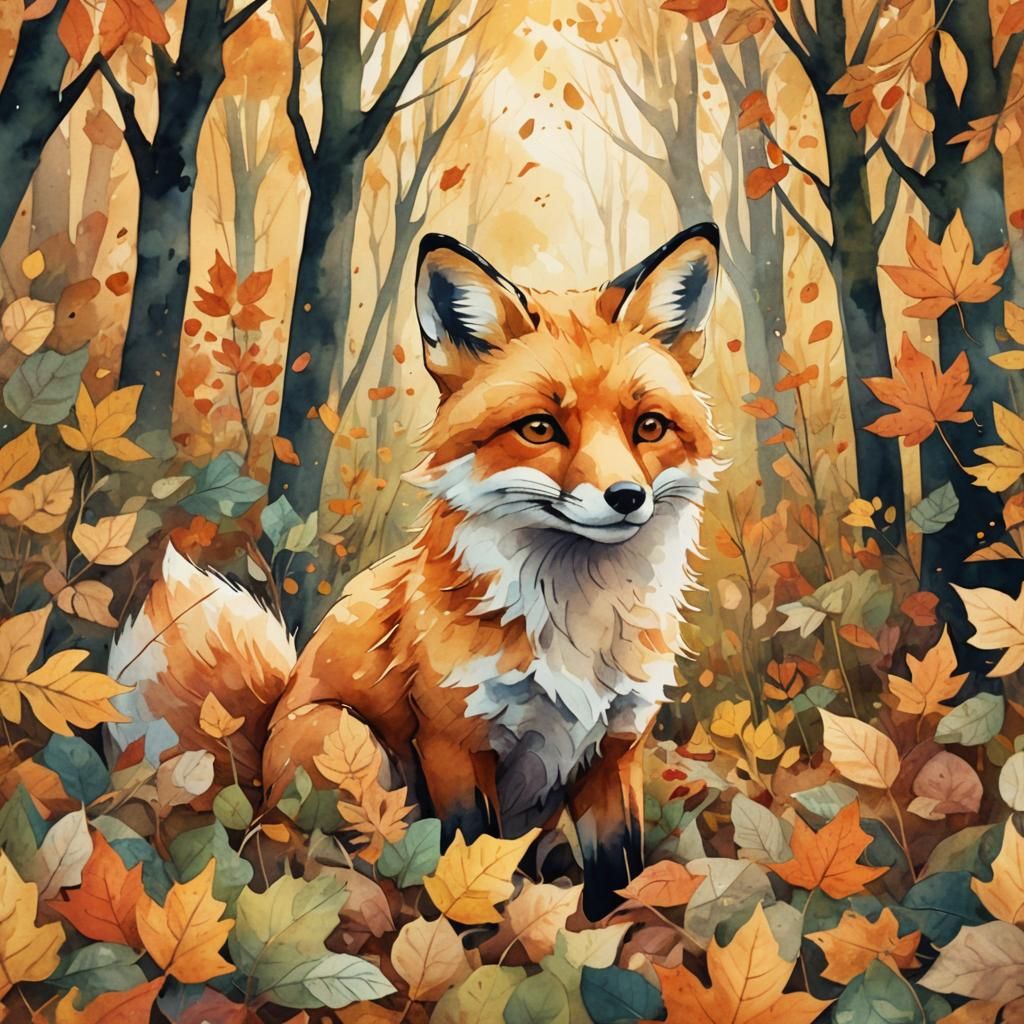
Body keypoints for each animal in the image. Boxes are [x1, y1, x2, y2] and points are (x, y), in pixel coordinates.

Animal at [109, 222, 722, 919]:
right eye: (540, 428)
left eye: (649, 426)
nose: (626, 497)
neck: (576, 620)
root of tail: (255, 783)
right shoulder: (453, 741)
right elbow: (467, 858)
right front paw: (470, 932)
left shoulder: (615, 747)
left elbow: (618, 878)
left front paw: (611, 937)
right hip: (347, 743)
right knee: (341, 862)